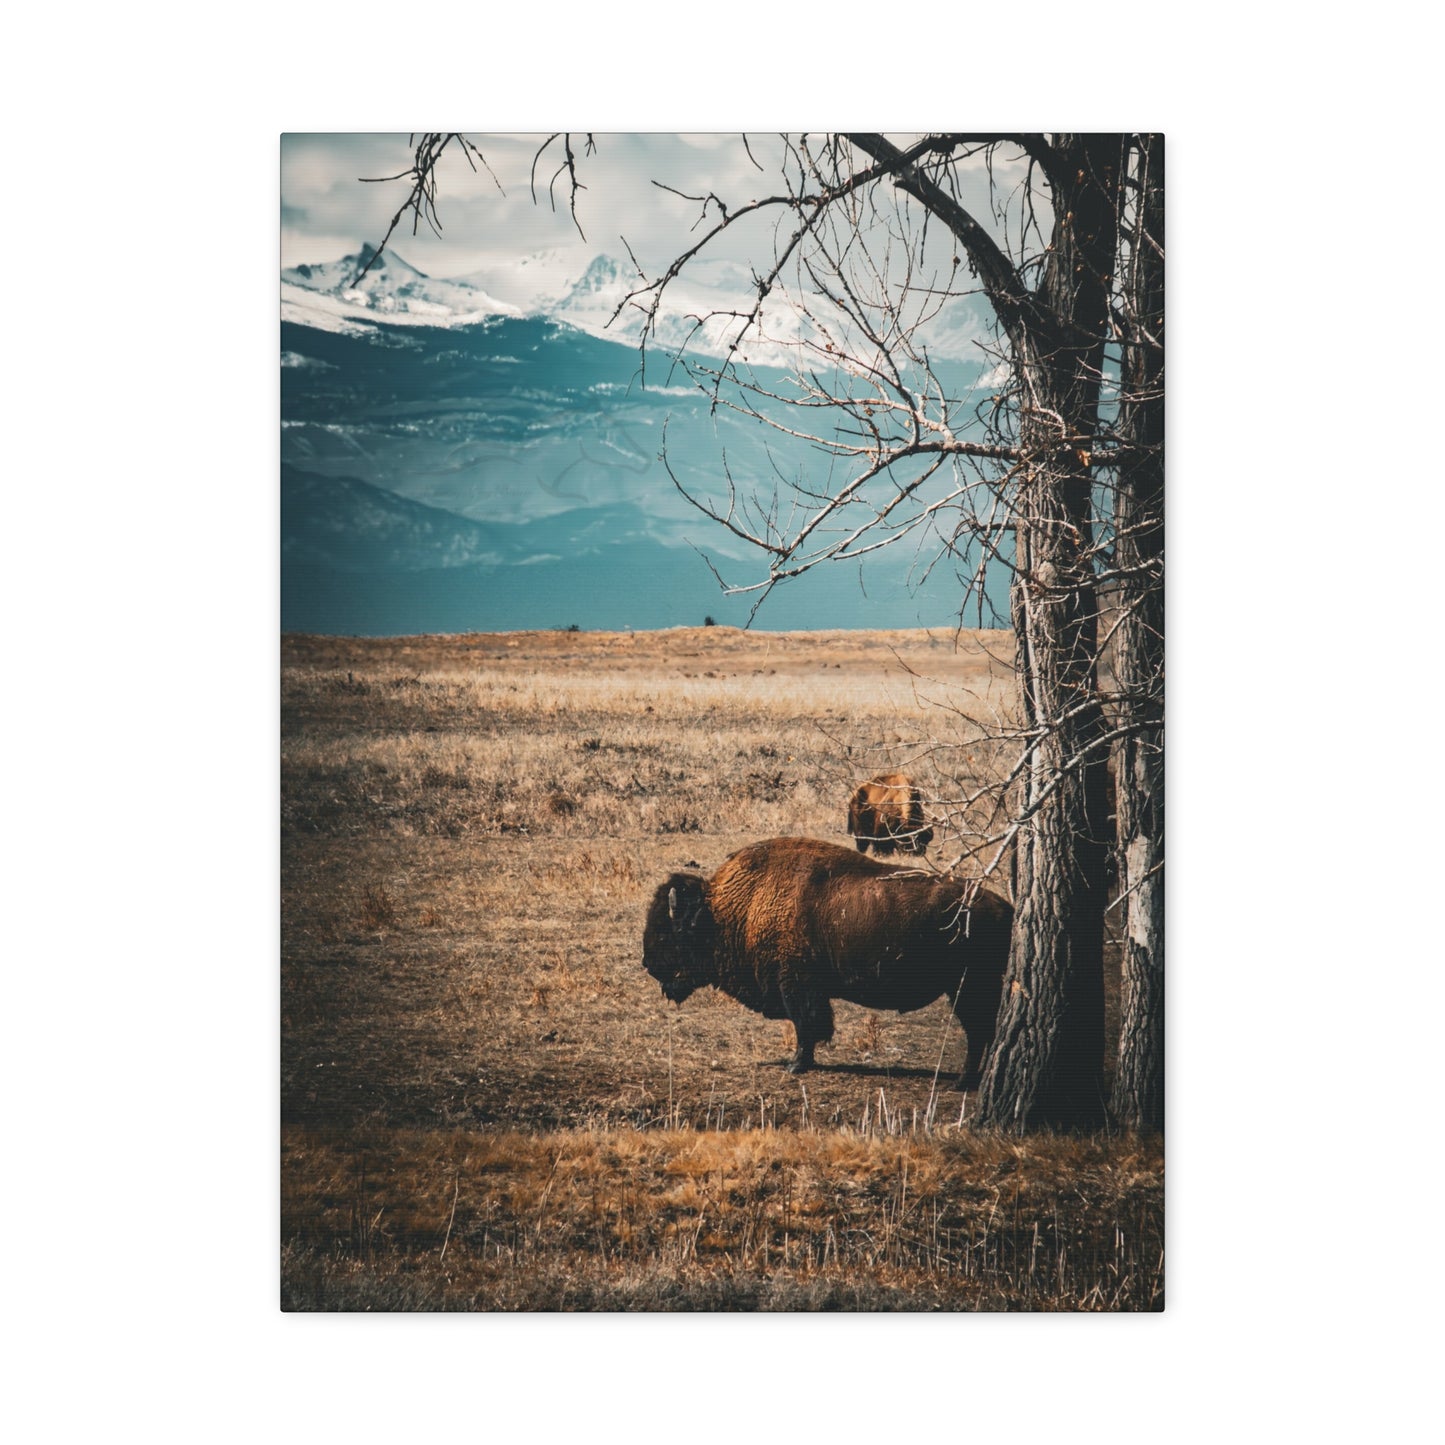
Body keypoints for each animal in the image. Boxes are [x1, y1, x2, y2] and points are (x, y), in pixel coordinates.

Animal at [642, 837, 1011, 1087]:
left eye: (666, 930)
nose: (648, 963)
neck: (731, 908)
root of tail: (1003, 907)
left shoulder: (797, 986)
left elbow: (807, 1026)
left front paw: (797, 1065)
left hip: (967, 989)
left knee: (978, 1032)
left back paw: (963, 1082)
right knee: (983, 1032)